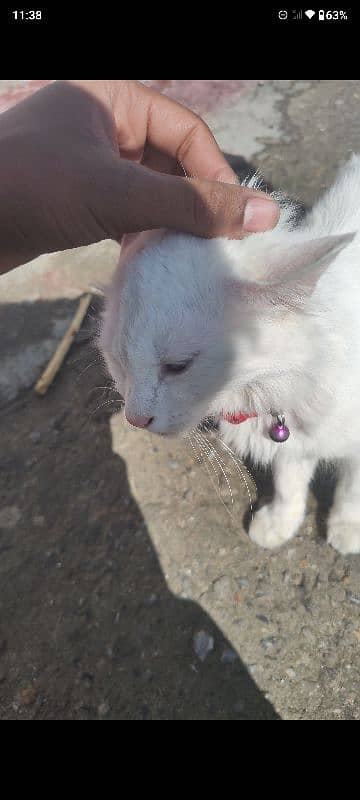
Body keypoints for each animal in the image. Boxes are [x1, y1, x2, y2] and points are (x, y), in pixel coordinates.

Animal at [100, 156, 360, 556]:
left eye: (178, 366)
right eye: (120, 362)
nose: (135, 419)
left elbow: (351, 487)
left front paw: (348, 525)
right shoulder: (291, 438)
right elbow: (289, 480)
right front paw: (280, 521)